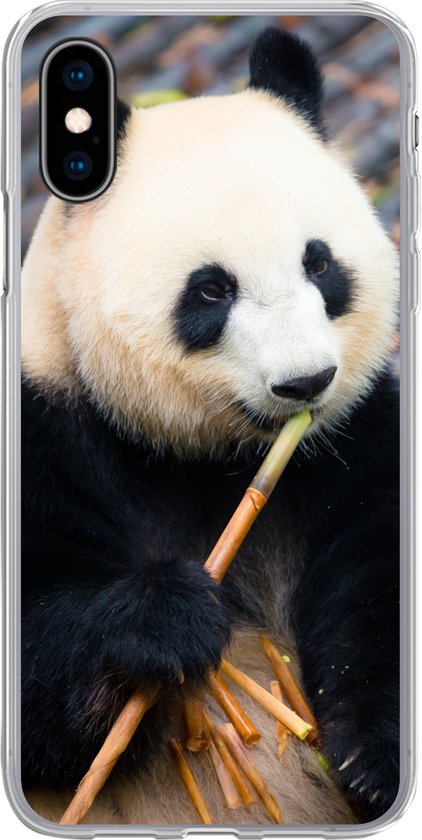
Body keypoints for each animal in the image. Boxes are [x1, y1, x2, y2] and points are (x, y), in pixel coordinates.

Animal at [21, 28, 399, 827]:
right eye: (212, 290)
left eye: (320, 263)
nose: (304, 383)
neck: (209, 459)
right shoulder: (46, 431)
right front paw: (167, 617)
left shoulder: (355, 441)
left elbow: (377, 575)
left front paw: (372, 759)